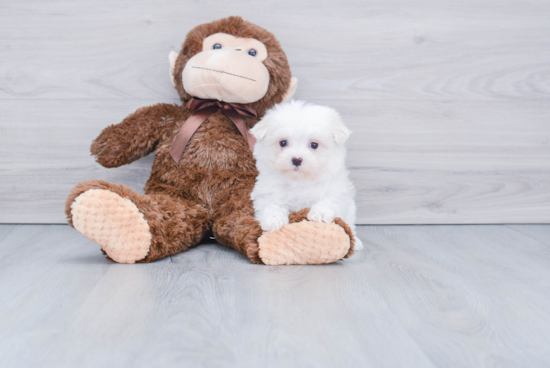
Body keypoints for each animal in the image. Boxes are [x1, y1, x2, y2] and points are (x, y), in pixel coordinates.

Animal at [251, 100, 364, 250]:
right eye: (283, 143)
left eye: (314, 145)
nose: (296, 159)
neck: (300, 180)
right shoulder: (266, 191)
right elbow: (271, 204)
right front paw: (274, 220)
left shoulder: (337, 189)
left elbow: (329, 199)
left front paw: (320, 214)